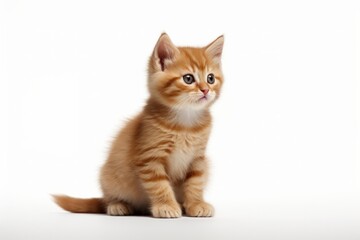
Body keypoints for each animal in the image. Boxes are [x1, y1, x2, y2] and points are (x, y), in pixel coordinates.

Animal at [53, 32, 224, 218]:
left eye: (210, 78)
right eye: (188, 78)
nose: (206, 90)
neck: (186, 122)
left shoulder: (198, 158)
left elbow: (196, 183)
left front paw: (195, 204)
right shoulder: (150, 157)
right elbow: (159, 185)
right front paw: (166, 205)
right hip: (109, 176)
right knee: (106, 200)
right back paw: (118, 205)